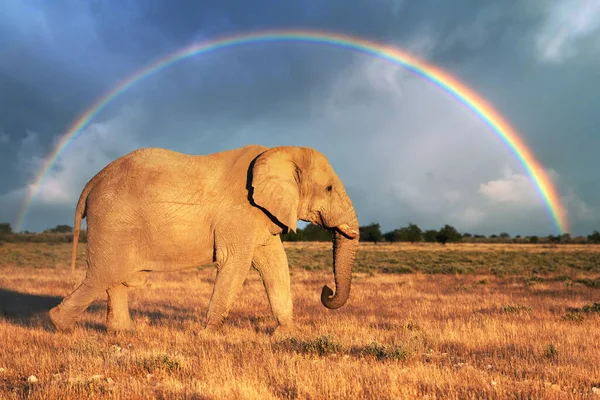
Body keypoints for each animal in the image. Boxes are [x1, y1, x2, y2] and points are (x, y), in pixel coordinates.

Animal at [49, 144, 358, 334]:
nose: (326, 290)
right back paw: (60, 326)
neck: (279, 151)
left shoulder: (260, 214)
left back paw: (124, 333)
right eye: (329, 189)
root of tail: (91, 182)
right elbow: (235, 263)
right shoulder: (240, 211)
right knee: (103, 275)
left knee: (115, 278)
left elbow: (275, 265)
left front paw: (286, 335)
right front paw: (207, 335)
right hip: (112, 220)